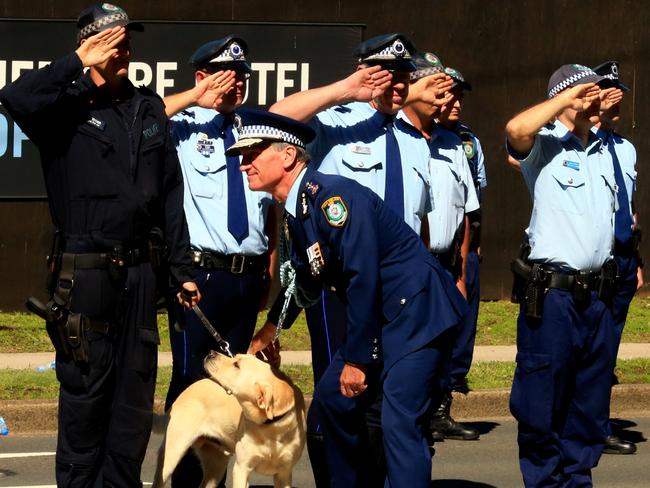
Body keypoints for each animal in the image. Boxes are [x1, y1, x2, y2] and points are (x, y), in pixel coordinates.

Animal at [152, 352, 306, 488]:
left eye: (236, 365)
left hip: (216, 465)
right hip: (172, 454)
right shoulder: (241, 468)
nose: (211, 353)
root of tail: (182, 393)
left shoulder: (284, 473)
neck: (271, 427)